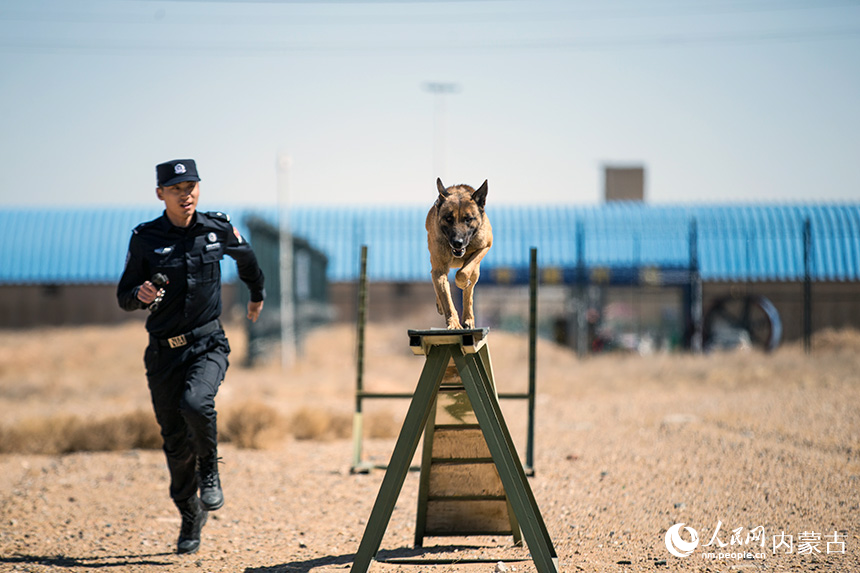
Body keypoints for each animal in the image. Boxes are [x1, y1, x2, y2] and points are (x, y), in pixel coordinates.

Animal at [426, 179, 494, 330]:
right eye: (448, 218)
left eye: (468, 219)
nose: (458, 243)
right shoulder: (439, 270)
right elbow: (446, 299)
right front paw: (454, 323)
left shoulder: (485, 246)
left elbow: (462, 273)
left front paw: (462, 284)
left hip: (476, 271)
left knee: (469, 294)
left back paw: (468, 318)